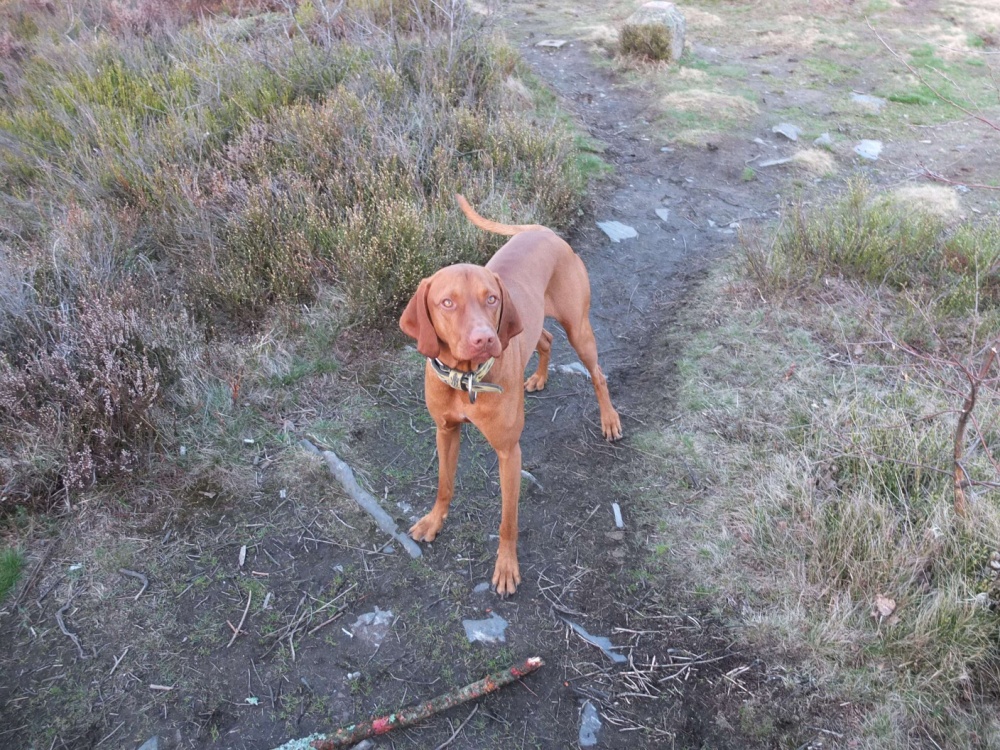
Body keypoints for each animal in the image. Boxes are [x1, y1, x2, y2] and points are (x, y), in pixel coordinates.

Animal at [396, 197, 616, 596]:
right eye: (447, 302)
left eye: (492, 299)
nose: (484, 338)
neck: (467, 377)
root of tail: (544, 231)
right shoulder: (445, 431)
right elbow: (444, 484)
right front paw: (434, 521)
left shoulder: (509, 453)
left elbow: (507, 520)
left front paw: (506, 567)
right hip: (535, 325)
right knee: (545, 339)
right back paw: (539, 377)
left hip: (580, 330)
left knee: (598, 376)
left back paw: (610, 419)